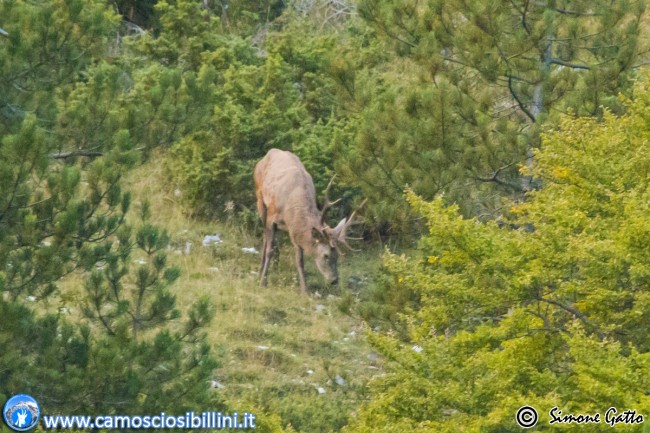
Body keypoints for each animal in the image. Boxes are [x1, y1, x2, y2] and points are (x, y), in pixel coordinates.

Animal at [254, 149, 365, 293]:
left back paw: (276, 267)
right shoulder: (272, 215)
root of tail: (270, 151)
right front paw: (263, 282)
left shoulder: (294, 230)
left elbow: (299, 260)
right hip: (259, 198)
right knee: (265, 237)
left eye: (337, 256)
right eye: (326, 255)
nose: (334, 280)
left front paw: (304, 289)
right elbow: (269, 250)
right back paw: (261, 269)